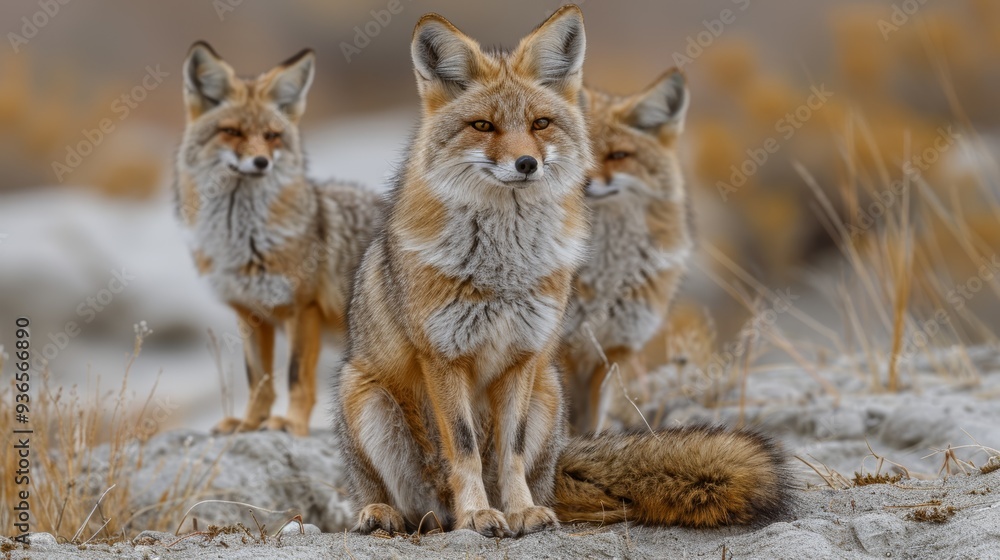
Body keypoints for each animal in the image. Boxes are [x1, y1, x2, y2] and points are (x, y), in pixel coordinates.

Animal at [174, 42, 381, 437]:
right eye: (232, 132)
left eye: (271, 136)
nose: (260, 162)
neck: (244, 243)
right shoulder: (250, 314)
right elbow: (259, 381)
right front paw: (249, 424)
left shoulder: (302, 308)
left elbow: (296, 377)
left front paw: (292, 424)